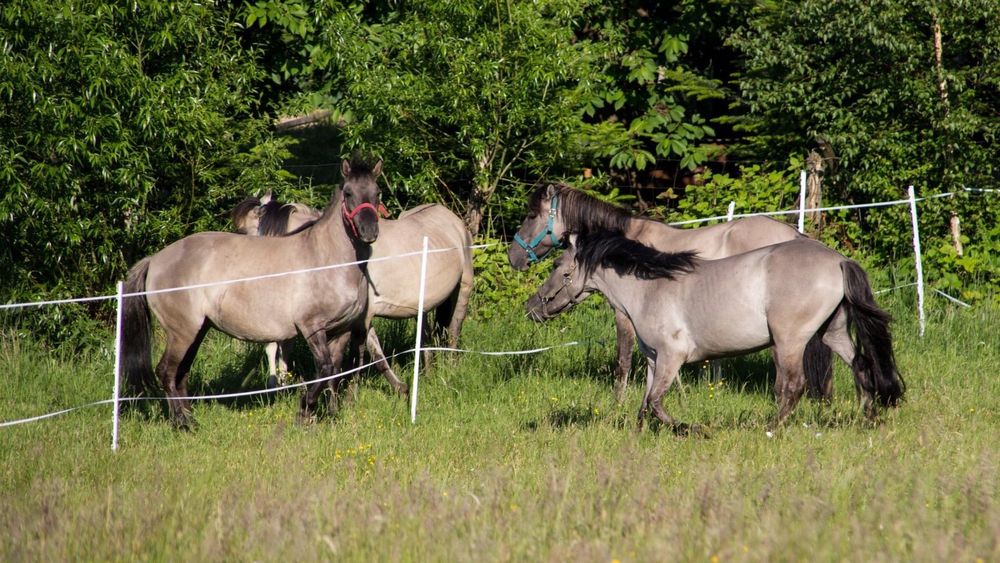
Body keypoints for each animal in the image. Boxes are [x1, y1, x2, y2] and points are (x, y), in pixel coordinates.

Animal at [508, 186, 836, 406]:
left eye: (531, 214)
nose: (514, 257)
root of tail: (795, 236)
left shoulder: (624, 315)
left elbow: (624, 359)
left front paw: (619, 402)